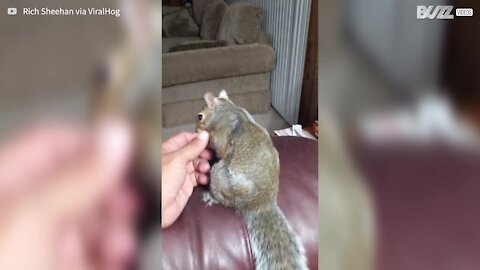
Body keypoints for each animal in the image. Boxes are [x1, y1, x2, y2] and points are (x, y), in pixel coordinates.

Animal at [195, 90, 308, 270]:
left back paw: (211, 196)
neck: (228, 109)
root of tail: (258, 204)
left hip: (219, 177)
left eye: (200, 116)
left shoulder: (223, 133)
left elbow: (220, 147)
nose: (195, 130)